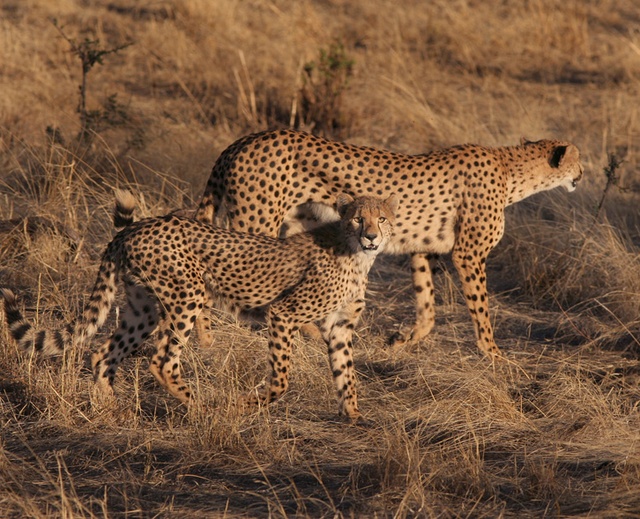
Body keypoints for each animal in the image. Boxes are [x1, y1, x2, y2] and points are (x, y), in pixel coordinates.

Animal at [0, 190, 397, 419]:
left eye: (383, 218)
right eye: (357, 218)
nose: (372, 236)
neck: (354, 253)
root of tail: (133, 227)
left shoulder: (339, 327)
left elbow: (346, 373)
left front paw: (354, 414)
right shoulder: (284, 314)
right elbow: (282, 379)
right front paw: (246, 406)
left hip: (143, 307)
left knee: (102, 352)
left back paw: (110, 408)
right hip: (187, 295)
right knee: (162, 360)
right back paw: (201, 407)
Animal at [194, 129, 584, 358]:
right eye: (579, 158)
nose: (581, 175)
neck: (513, 171)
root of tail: (246, 139)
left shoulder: (422, 249)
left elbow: (427, 307)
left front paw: (403, 340)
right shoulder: (468, 254)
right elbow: (481, 309)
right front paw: (494, 356)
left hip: (295, 226)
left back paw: (308, 332)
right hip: (255, 223)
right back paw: (208, 340)